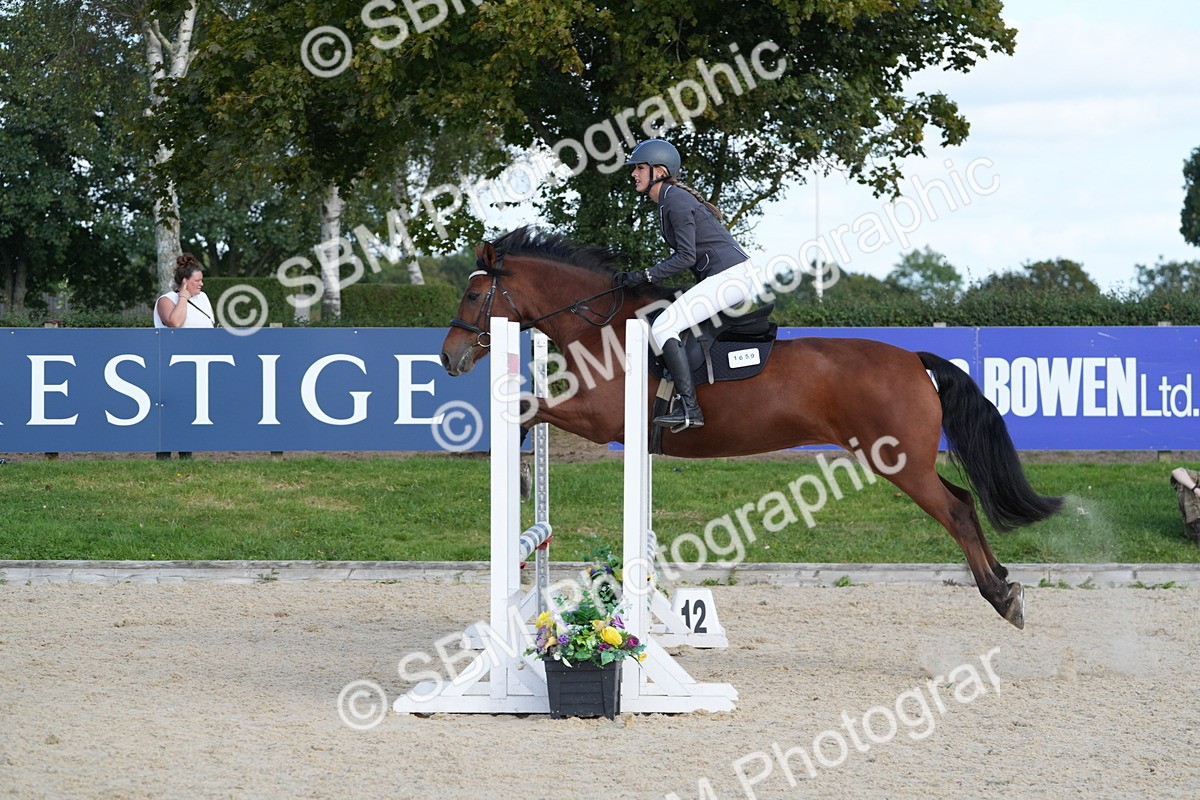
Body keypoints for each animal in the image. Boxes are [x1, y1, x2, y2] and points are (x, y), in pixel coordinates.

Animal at [440, 226, 1063, 628]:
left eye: (473, 295)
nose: (449, 358)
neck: (602, 326)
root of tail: (913, 358)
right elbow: (529, 406)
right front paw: (523, 477)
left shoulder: (599, 418)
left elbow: (526, 407)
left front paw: (521, 477)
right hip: (906, 460)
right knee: (965, 500)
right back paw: (1005, 579)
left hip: (899, 462)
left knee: (955, 510)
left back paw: (1001, 596)